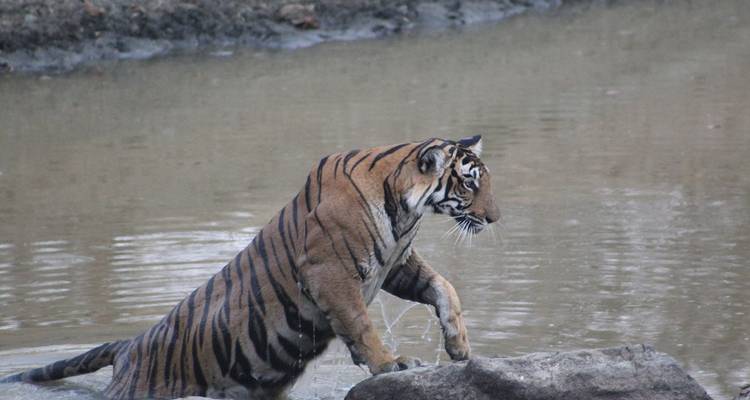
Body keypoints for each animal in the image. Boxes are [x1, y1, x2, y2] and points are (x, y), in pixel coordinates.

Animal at [0, 135, 500, 399]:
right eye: (469, 184)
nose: (495, 218)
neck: (404, 211)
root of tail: (130, 345)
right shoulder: (330, 273)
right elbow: (361, 325)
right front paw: (390, 363)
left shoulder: (396, 265)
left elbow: (443, 286)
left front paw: (458, 345)